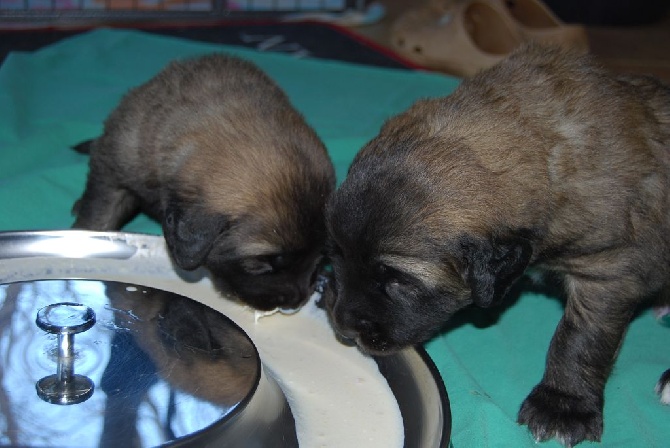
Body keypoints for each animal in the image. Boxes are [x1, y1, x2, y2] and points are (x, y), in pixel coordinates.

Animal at [326, 43, 670, 446]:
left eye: (398, 281)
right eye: (337, 256)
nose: (344, 328)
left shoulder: (607, 272)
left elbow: (579, 338)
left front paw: (561, 405)